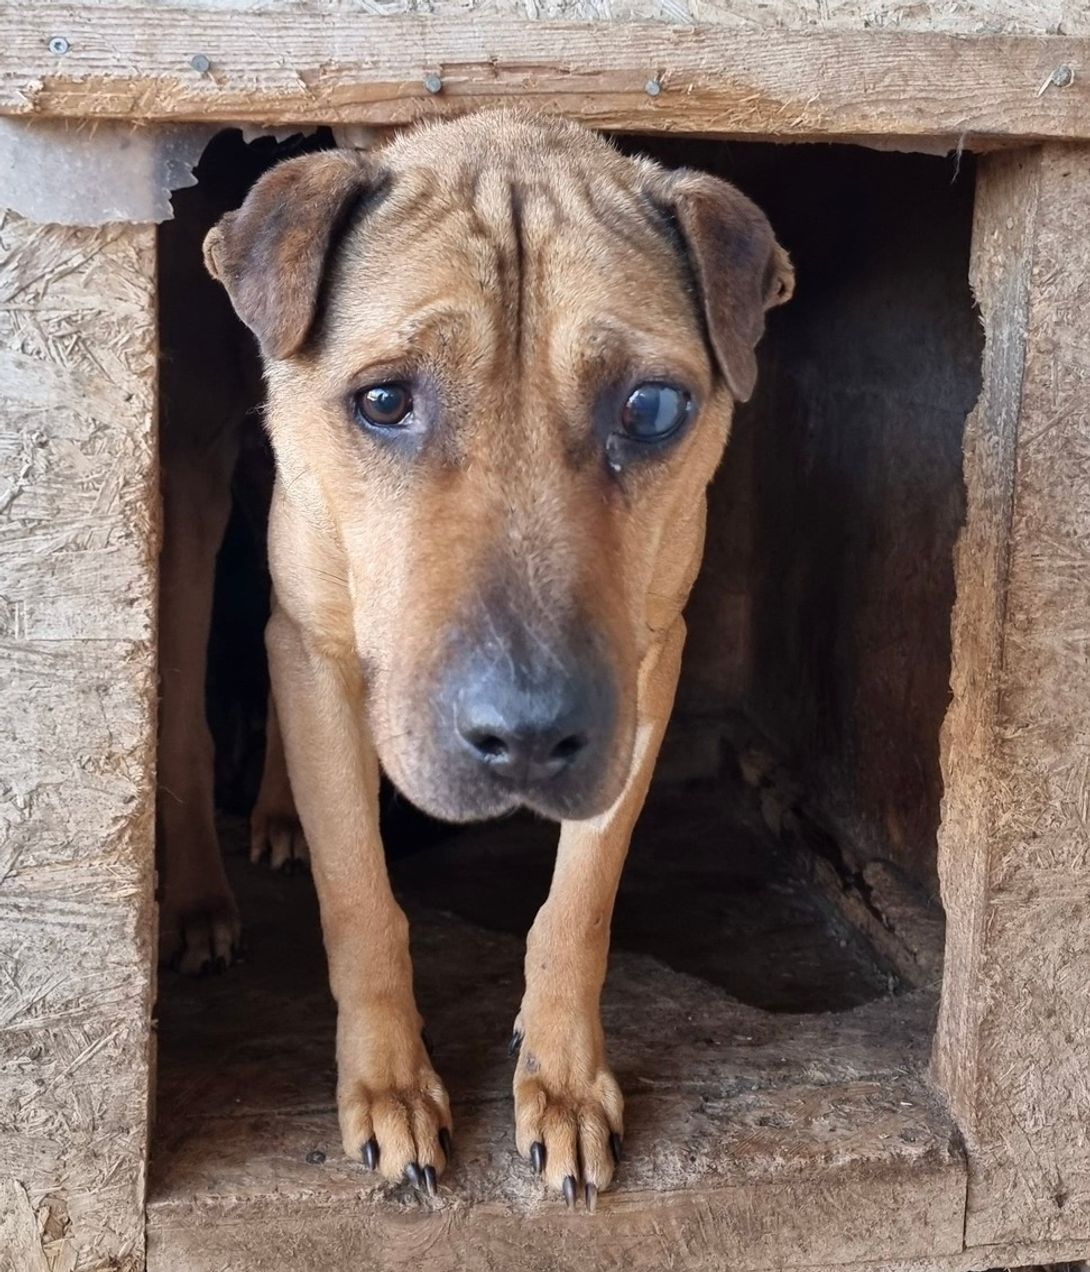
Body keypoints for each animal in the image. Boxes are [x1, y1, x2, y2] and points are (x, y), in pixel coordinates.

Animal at [202, 109, 792, 1206]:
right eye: (384, 401)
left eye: (651, 409)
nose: (525, 738)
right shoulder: (317, 642)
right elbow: (359, 894)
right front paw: (388, 1084)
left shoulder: (648, 668)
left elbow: (583, 898)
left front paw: (561, 1075)